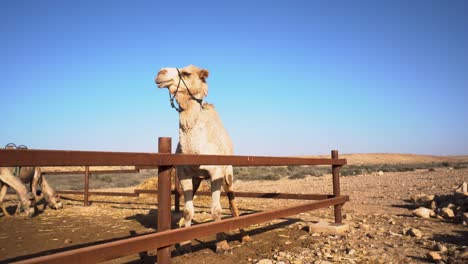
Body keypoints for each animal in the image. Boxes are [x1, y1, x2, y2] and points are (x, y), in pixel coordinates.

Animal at [154, 64, 250, 254]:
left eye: (186, 73)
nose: (160, 73)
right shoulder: (184, 174)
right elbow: (187, 210)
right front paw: (184, 244)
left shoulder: (216, 173)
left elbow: (217, 210)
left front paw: (222, 245)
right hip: (197, 178)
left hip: (228, 173)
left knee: (232, 201)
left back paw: (245, 236)